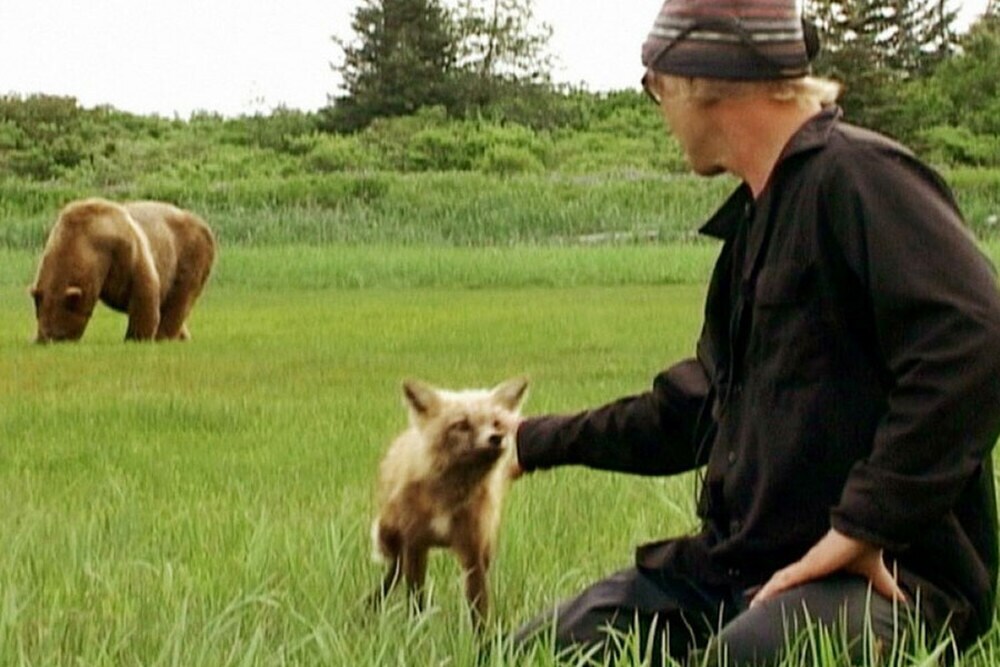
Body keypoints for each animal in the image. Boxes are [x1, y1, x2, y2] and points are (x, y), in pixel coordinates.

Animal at [369, 377, 528, 629]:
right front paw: (416, 632)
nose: (496, 439)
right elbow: (416, 602)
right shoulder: (415, 545)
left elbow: (479, 613)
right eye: (462, 425)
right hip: (392, 542)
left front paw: (484, 640)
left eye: (496, 423)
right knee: (391, 578)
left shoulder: (474, 552)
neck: (448, 499)